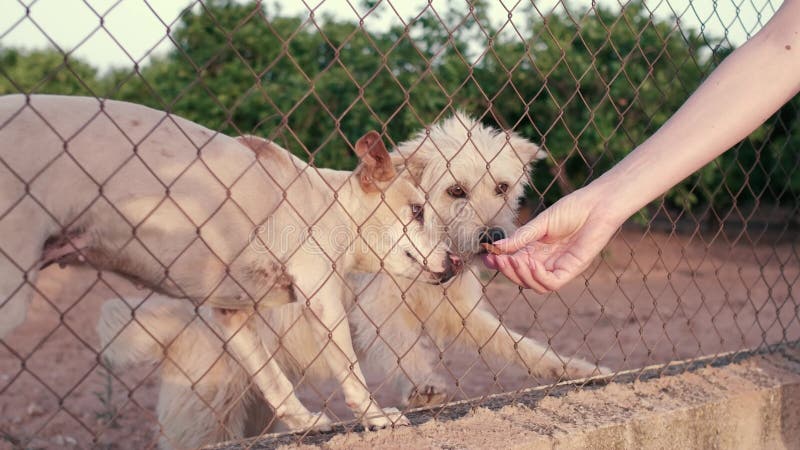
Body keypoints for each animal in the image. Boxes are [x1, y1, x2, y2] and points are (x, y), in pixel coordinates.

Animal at [0, 95, 456, 436]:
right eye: (417, 211)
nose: (454, 260)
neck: (330, 205)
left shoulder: (233, 316)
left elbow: (273, 380)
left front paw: (303, 421)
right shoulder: (322, 296)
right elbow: (350, 372)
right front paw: (376, 417)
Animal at [97, 113, 604, 450]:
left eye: (501, 187)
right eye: (455, 190)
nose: (494, 236)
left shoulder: (458, 312)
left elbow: (522, 347)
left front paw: (576, 369)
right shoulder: (373, 307)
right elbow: (400, 345)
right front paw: (422, 385)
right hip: (207, 412)